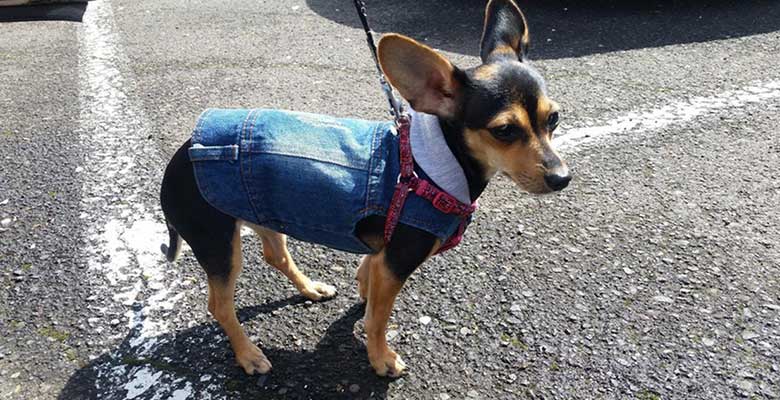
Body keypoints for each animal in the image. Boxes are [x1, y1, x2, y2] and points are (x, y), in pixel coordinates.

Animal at [160, 0, 572, 376]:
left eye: (553, 118)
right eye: (504, 131)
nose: (562, 178)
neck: (431, 168)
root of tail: (178, 160)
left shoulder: (383, 255)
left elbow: (368, 278)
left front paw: (362, 291)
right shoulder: (397, 262)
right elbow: (378, 320)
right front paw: (381, 358)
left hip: (262, 213)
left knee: (276, 256)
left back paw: (310, 289)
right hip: (218, 243)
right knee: (219, 306)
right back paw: (248, 355)